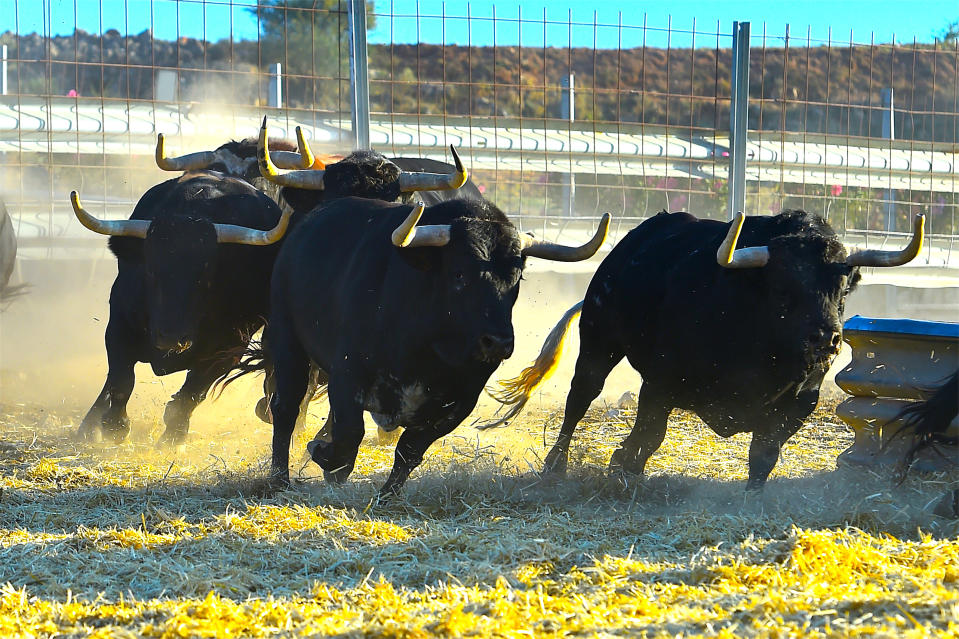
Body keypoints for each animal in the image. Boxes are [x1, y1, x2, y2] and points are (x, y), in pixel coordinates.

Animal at [258, 198, 612, 492]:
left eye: (518, 278)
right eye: (459, 274)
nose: (498, 342)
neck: (426, 348)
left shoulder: (459, 402)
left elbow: (410, 449)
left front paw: (386, 495)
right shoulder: (349, 375)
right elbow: (348, 434)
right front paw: (323, 455)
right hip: (288, 342)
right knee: (285, 408)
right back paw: (279, 479)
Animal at [492, 210, 928, 490]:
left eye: (843, 286)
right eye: (783, 286)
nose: (827, 339)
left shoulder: (801, 403)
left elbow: (764, 454)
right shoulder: (659, 384)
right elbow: (649, 435)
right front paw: (624, 465)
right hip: (600, 344)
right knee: (579, 399)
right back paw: (555, 464)